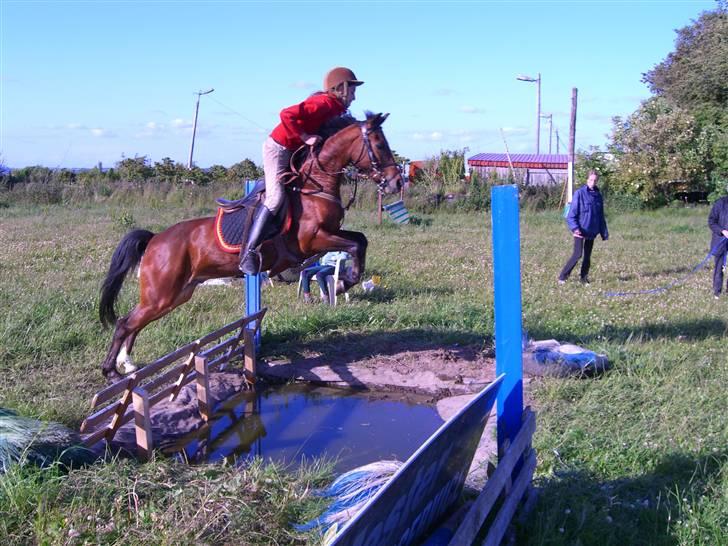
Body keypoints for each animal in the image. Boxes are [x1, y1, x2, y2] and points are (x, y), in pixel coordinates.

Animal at [97, 112, 404, 380]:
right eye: (379, 144)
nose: (396, 182)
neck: (314, 187)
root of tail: (155, 239)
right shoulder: (313, 239)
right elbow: (354, 246)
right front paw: (342, 283)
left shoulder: (330, 233)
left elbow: (360, 240)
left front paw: (343, 282)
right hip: (162, 294)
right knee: (125, 322)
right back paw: (111, 370)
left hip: (176, 294)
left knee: (133, 322)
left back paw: (127, 364)